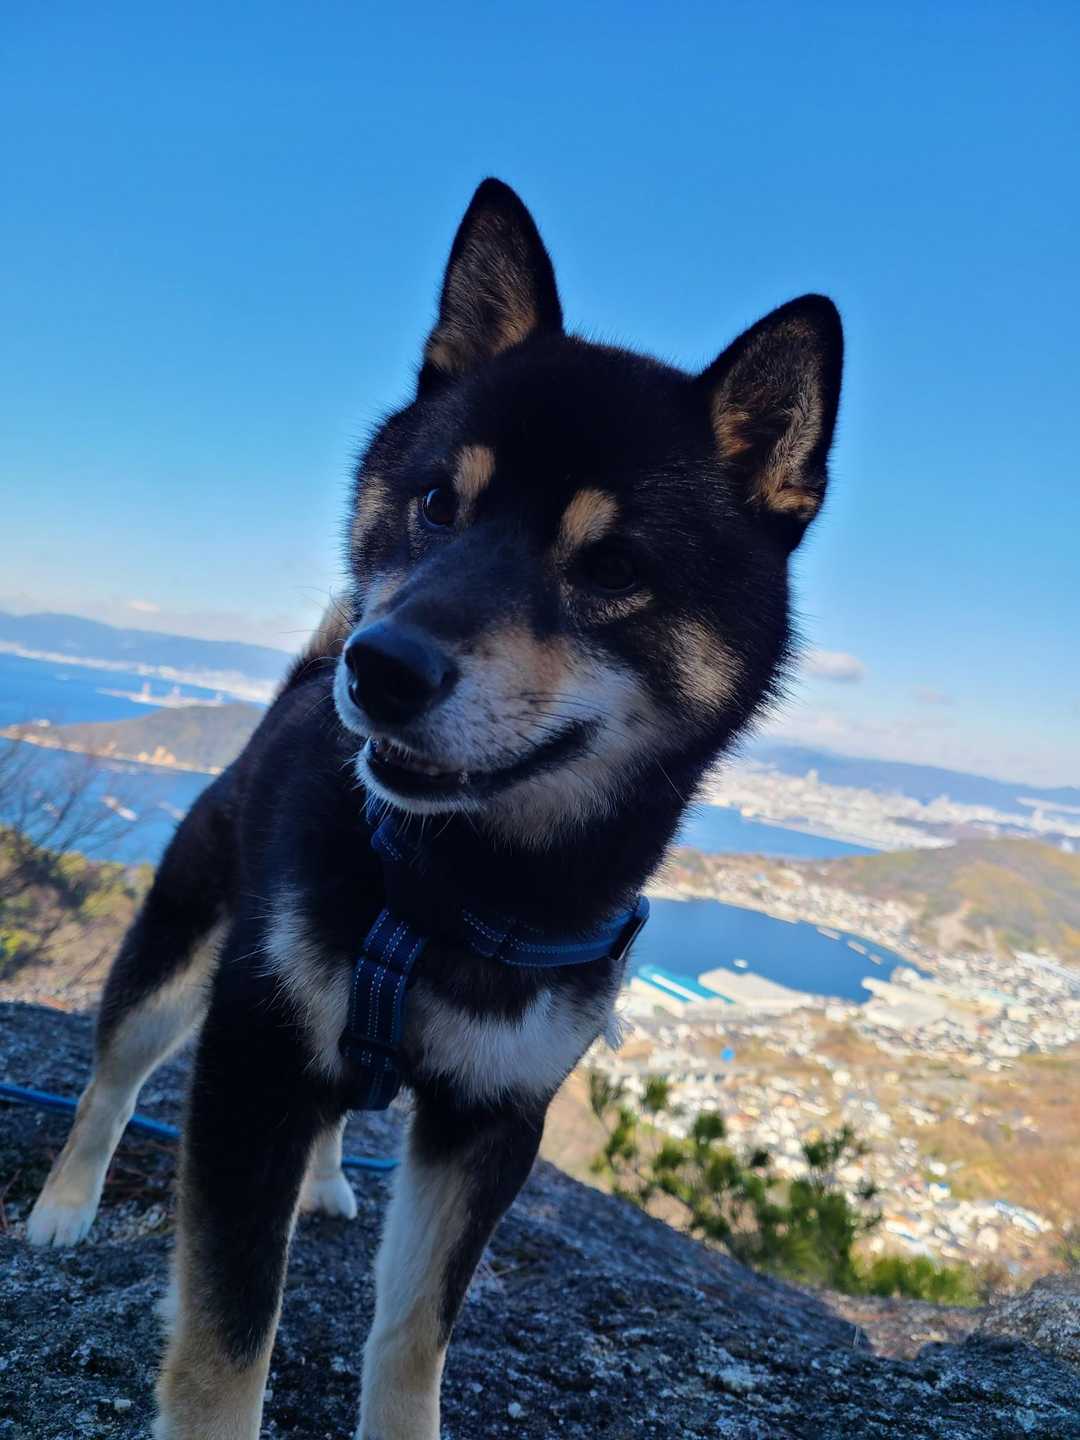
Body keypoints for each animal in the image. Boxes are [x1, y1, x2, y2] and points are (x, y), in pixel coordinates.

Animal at [27, 178, 843, 1439]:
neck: (459, 884)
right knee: (113, 1079)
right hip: (185, 946)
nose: (381, 666)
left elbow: (415, 1334)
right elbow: (224, 1339)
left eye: (613, 568)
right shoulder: (253, 1057)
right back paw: (64, 1206)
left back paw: (322, 1184)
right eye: (434, 504)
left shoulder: (490, 1119)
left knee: (337, 1112)